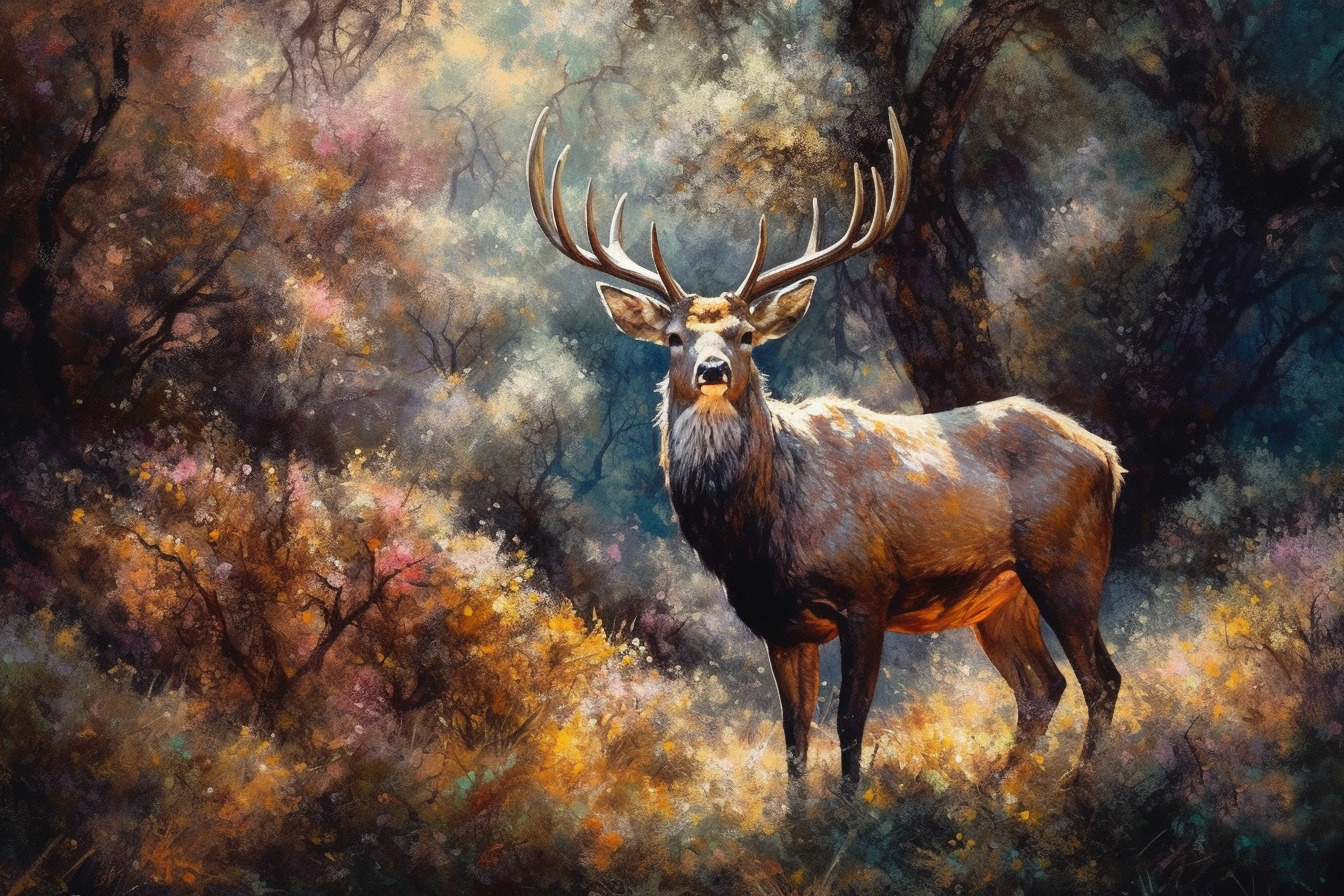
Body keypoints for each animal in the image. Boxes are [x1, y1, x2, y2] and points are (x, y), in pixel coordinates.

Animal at [526, 106, 1123, 797]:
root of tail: (1108, 455)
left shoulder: (868, 592)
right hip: (998, 597)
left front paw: (848, 809)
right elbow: (793, 732)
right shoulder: (778, 621)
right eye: (674, 337)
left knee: (1100, 677)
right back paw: (994, 787)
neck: (766, 531)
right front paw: (798, 815)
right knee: (1041, 686)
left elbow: (849, 720)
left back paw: (1077, 785)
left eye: (745, 334)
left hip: (1068, 561)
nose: (711, 369)